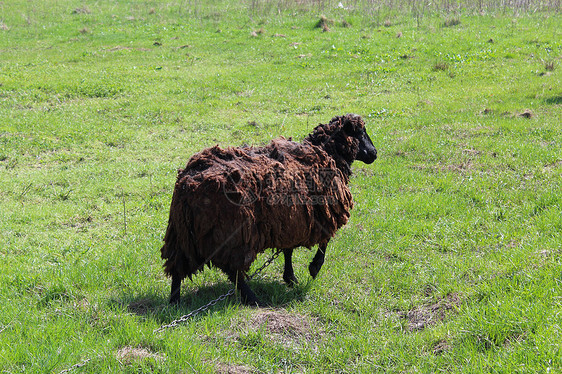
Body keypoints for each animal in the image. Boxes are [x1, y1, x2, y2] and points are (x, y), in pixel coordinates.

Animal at [160, 113, 376, 304]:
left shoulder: (291, 218)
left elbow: (288, 250)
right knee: (233, 271)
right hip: (232, 233)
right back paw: (252, 299)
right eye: (361, 133)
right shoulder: (322, 213)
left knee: (177, 266)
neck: (327, 154)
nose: (374, 153)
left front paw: (290, 277)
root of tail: (187, 185)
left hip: (181, 235)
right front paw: (313, 268)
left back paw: (174, 301)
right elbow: (325, 242)